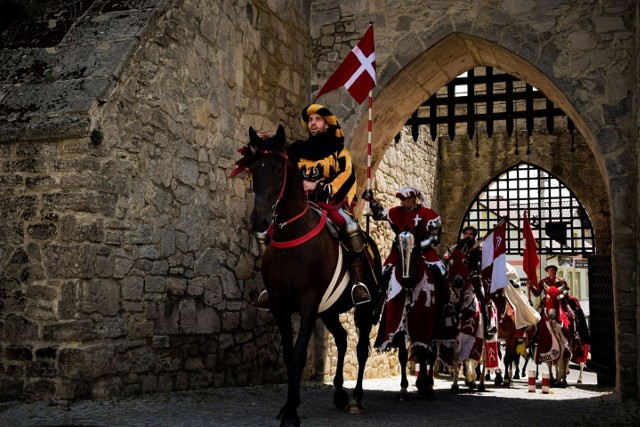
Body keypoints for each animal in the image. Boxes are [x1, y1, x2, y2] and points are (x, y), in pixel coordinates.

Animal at [238, 126, 382, 427]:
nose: (259, 220)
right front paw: (287, 406)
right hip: (329, 311)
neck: (292, 235)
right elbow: (287, 353)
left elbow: (298, 353)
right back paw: (339, 393)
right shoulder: (280, 305)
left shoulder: (308, 303)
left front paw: (292, 412)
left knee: (361, 349)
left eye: (278, 168)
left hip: (363, 310)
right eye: (254, 168)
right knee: (342, 339)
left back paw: (356, 398)